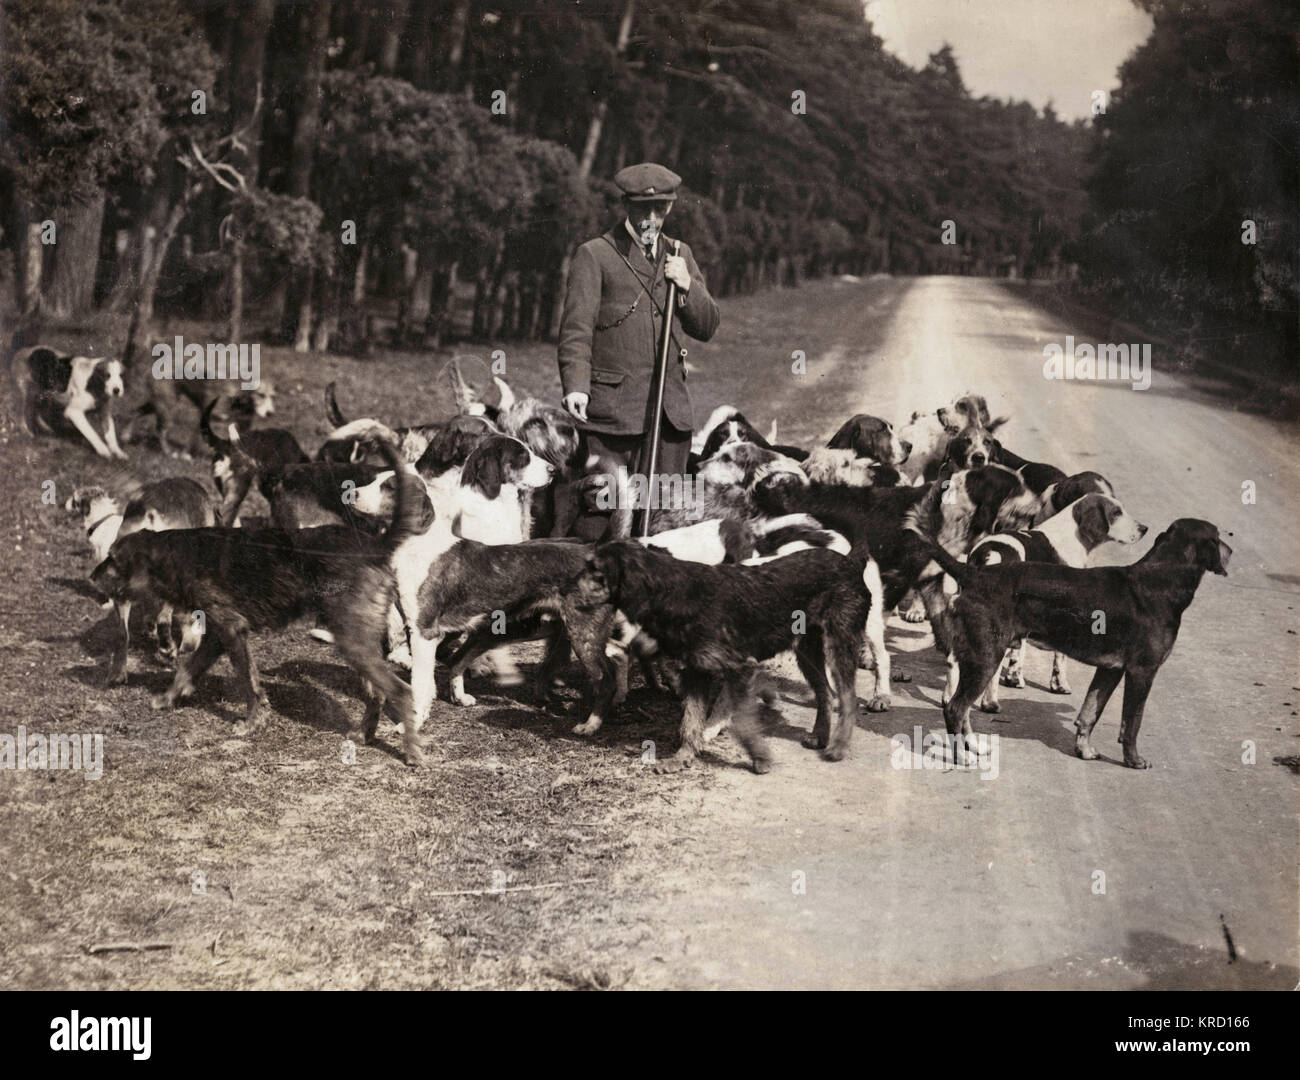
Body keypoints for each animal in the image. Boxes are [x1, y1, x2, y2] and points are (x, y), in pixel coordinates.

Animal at [930, 522, 1222, 769]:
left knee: (962, 708)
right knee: (956, 708)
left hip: (978, 659)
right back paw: (961, 757)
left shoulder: (1110, 670)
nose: (1229, 547)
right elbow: (1132, 723)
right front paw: (1134, 760)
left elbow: (1090, 713)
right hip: (986, 658)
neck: (1158, 581)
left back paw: (974, 747)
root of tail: (973, 573)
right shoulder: (1142, 673)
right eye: (1218, 537)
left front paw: (1085, 750)